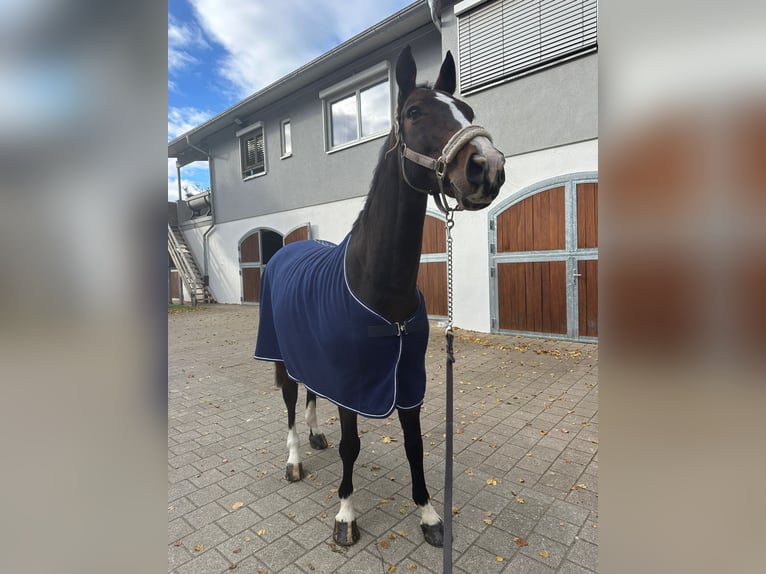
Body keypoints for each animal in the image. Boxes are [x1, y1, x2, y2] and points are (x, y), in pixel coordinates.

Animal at [254, 45, 505, 547]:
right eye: (413, 113)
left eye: (466, 112)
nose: (487, 165)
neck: (381, 291)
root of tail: (286, 250)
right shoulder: (353, 383)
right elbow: (351, 445)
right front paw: (345, 515)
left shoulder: (407, 380)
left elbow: (415, 444)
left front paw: (429, 515)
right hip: (281, 355)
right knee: (290, 401)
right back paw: (295, 459)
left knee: (310, 393)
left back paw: (315, 436)